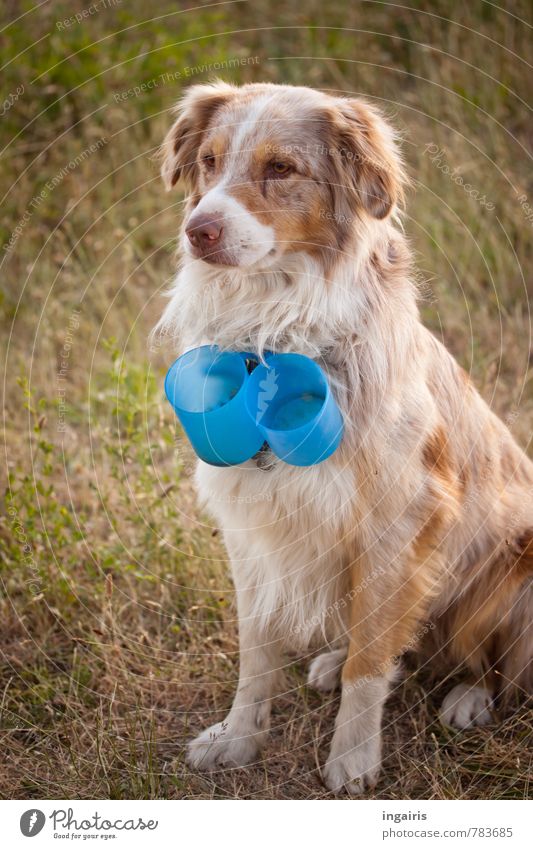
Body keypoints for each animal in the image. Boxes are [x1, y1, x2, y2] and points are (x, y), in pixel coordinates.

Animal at [156, 81, 532, 796]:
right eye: (209, 162)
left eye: (281, 168)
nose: (197, 233)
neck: (274, 339)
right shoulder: (253, 525)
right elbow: (256, 652)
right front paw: (240, 738)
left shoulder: (397, 522)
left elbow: (369, 669)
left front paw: (353, 761)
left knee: (484, 663)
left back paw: (469, 697)